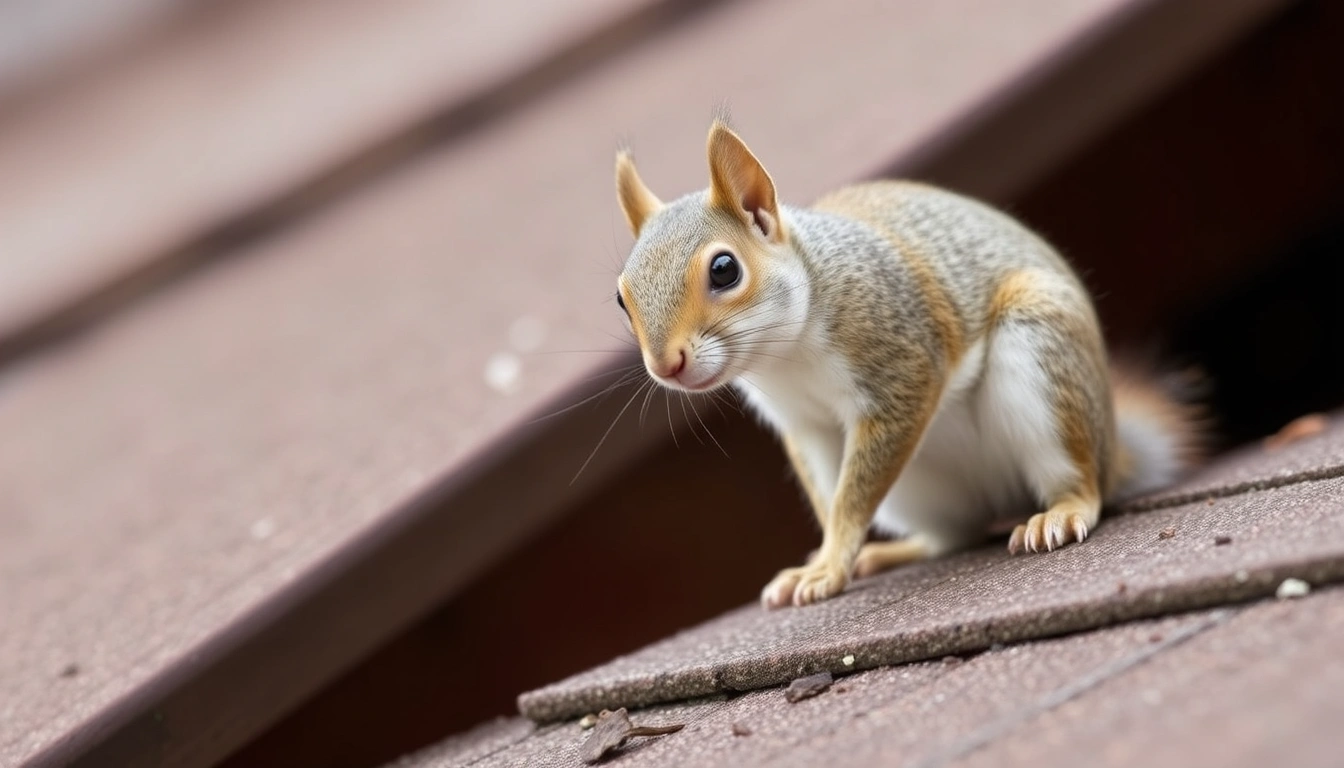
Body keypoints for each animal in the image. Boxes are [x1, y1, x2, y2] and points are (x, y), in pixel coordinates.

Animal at [611, 118, 1205, 609]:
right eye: (621, 297)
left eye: (725, 270)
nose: (666, 365)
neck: (785, 355)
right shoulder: (806, 428)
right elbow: (832, 499)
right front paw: (828, 558)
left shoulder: (901, 361)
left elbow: (855, 493)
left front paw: (827, 565)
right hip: (920, 491)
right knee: (956, 534)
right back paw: (895, 552)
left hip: (1041, 358)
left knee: (1083, 484)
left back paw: (1061, 512)